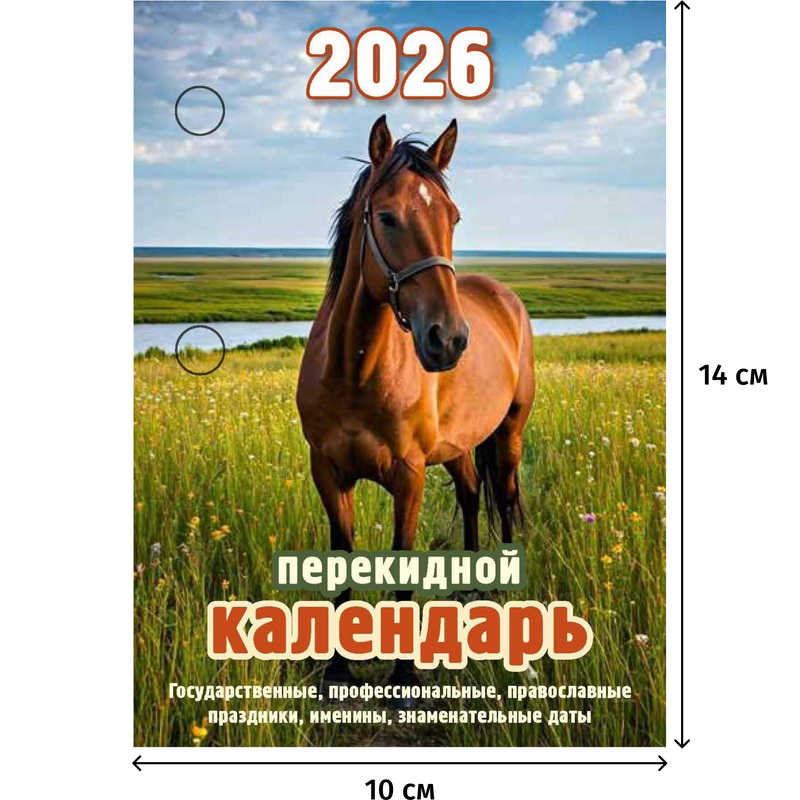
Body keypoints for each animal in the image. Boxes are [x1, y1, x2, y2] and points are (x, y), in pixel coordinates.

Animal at [296, 115, 535, 686]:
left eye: (453, 217)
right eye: (387, 217)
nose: (448, 339)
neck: (354, 371)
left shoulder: (408, 475)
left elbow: (402, 556)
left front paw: (404, 677)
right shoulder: (328, 472)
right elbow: (343, 553)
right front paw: (338, 669)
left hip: (509, 433)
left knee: (504, 496)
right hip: (458, 445)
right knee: (471, 495)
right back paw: (471, 592)